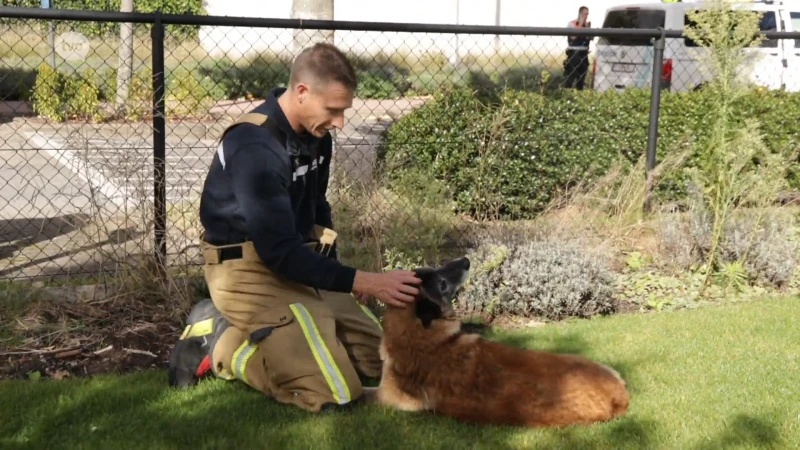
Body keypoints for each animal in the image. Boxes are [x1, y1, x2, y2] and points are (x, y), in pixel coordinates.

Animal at [362, 256, 632, 428]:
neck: (423, 335)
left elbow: (360, 393)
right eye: (442, 283)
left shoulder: (388, 398)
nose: (466, 260)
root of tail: (618, 398)